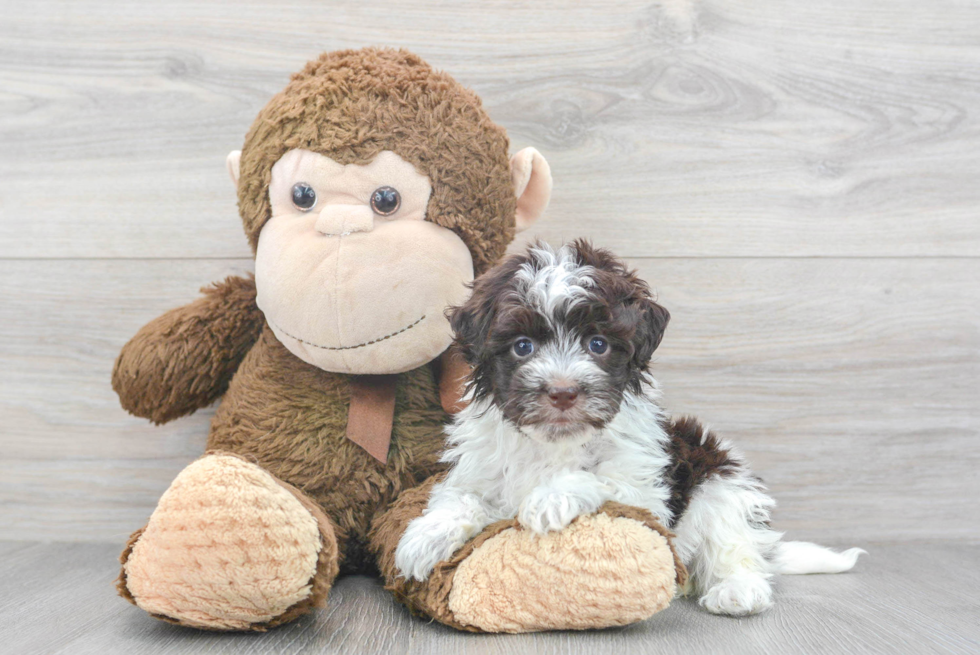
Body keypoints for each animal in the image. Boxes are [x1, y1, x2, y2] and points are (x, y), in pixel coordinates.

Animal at [394, 240, 860, 616]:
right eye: (522, 347)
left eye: (598, 344)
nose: (562, 392)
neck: (556, 442)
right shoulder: (478, 470)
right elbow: (463, 498)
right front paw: (425, 536)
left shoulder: (645, 489)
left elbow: (599, 479)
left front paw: (551, 498)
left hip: (718, 479)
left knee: (734, 544)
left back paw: (737, 591)